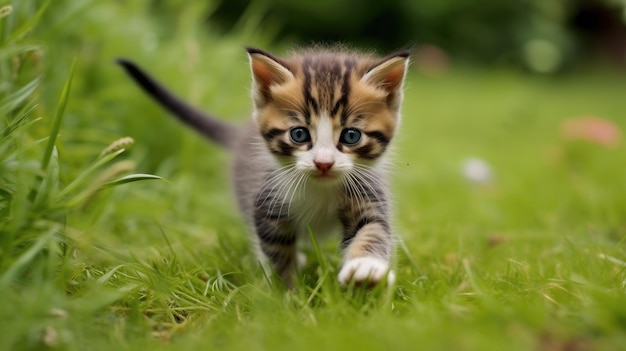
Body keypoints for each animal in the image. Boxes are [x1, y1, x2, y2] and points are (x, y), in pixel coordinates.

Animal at [117, 46, 410, 288]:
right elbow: (276, 249)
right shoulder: (266, 200)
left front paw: (366, 269)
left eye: (351, 136)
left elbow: (372, 229)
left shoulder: (367, 190)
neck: (320, 188)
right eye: (299, 134)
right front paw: (286, 293)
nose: (323, 163)